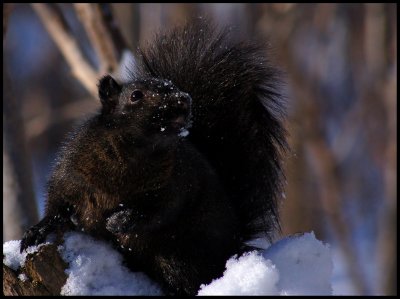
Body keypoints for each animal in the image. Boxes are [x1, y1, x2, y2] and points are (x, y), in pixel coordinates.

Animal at [20, 19, 288, 296]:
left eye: (176, 89)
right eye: (135, 95)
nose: (183, 100)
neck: (134, 151)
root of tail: (234, 244)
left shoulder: (175, 183)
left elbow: (160, 211)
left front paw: (118, 221)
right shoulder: (73, 171)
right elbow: (57, 201)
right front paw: (38, 230)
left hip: (179, 257)